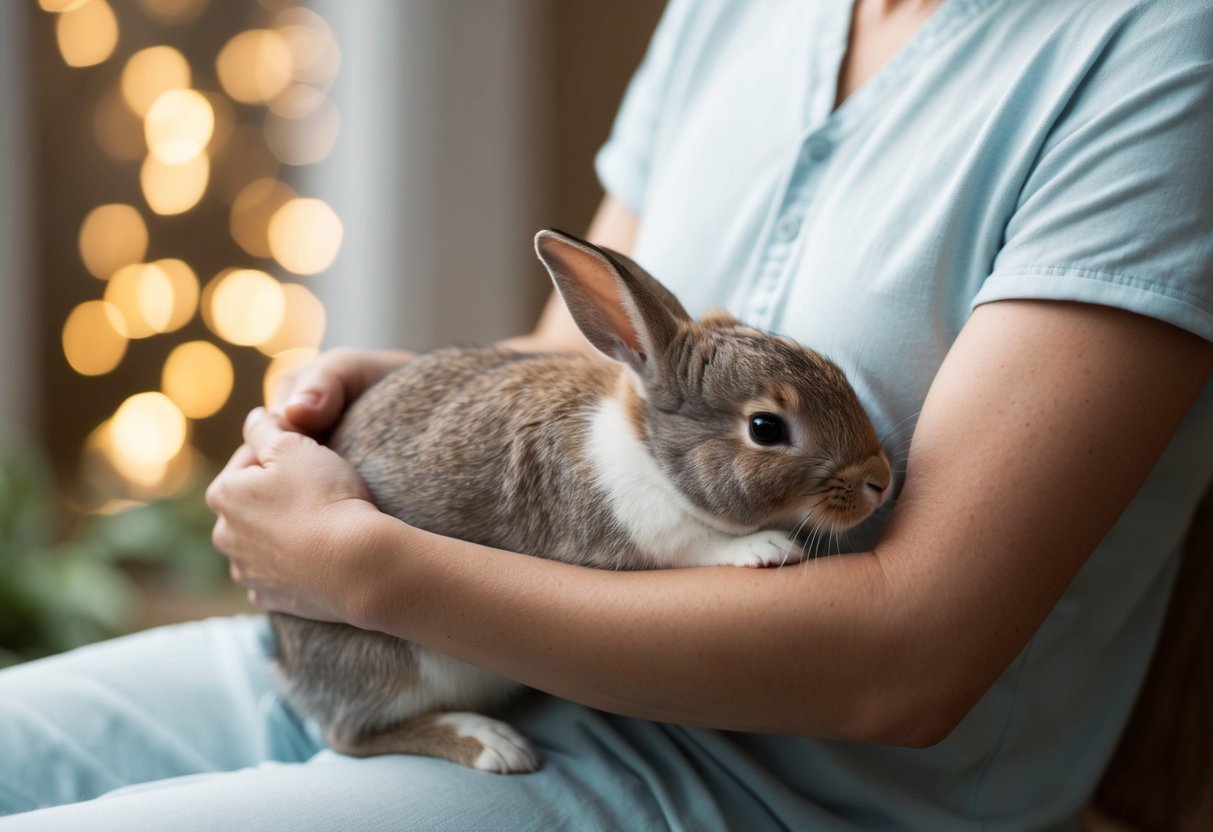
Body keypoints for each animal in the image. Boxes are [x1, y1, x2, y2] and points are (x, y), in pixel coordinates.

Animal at [269, 228, 893, 774]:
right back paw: (491, 745)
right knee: (351, 738)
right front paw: (767, 548)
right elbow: (696, 545)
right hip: (394, 663)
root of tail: (288, 666)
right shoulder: (629, 538)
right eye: (766, 428)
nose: (880, 481)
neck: (650, 452)